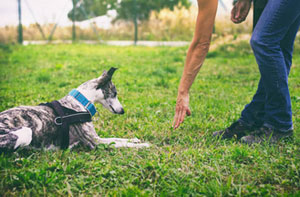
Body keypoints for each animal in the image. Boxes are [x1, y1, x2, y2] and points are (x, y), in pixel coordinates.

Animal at [0, 67, 150, 151]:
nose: (122, 110)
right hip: (25, 132)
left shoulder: (98, 138)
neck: (79, 102)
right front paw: (143, 145)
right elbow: (120, 143)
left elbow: (118, 139)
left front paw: (135, 140)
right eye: (115, 93)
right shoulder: (95, 142)